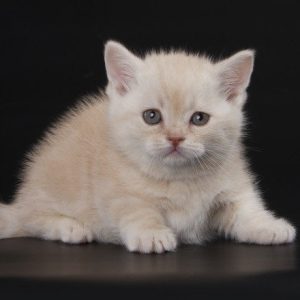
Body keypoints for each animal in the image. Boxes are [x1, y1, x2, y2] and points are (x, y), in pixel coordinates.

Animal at [0, 41, 296, 253]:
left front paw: (269, 226)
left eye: (199, 119)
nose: (175, 138)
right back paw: (71, 228)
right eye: (151, 116)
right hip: (49, 192)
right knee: (31, 218)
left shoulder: (232, 187)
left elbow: (246, 210)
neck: (180, 180)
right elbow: (136, 209)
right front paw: (151, 234)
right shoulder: (115, 190)